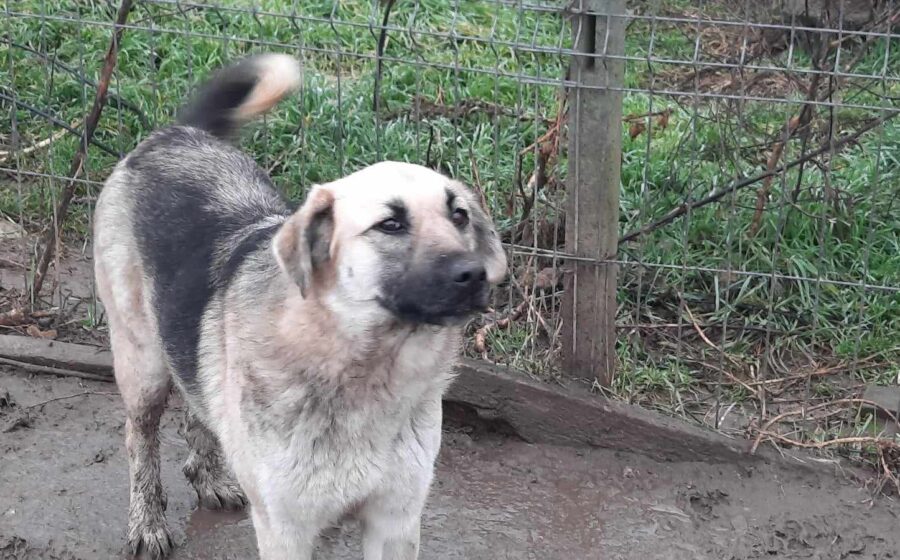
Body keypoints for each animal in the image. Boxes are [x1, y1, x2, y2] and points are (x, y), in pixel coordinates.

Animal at [93, 53, 507, 559]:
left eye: (459, 216)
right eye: (390, 224)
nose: (475, 275)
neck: (364, 369)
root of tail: (177, 134)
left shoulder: (396, 520)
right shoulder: (285, 529)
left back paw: (208, 475)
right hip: (143, 365)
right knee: (140, 437)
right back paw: (147, 521)